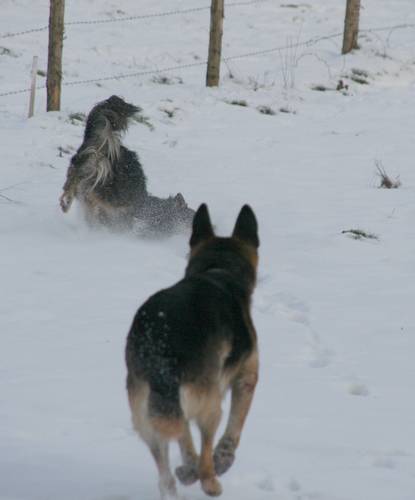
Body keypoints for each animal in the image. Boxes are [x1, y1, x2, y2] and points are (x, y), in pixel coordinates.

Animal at [125, 205, 258, 498]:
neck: (218, 268)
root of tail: (160, 342)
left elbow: (184, 440)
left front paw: (188, 468)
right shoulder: (246, 378)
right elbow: (234, 429)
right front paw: (223, 460)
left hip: (147, 408)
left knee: (166, 471)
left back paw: (182, 477)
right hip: (209, 403)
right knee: (205, 448)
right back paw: (210, 480)